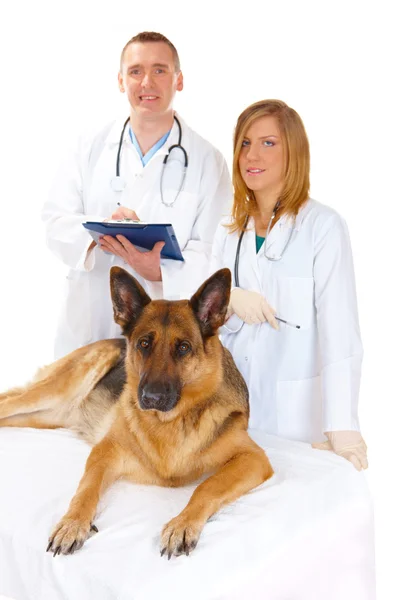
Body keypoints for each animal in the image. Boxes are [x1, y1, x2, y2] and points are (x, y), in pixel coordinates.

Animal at [0, 268, 274, 556]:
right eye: (144, 343)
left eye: (184, 347)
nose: (151, 398)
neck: (171, 421)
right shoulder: (105, 451)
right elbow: (86, 489)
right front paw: (73, 524)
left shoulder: (253, 458)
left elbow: (207, 486)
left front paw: (182, 524)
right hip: (56, 390)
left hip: (44, 417)